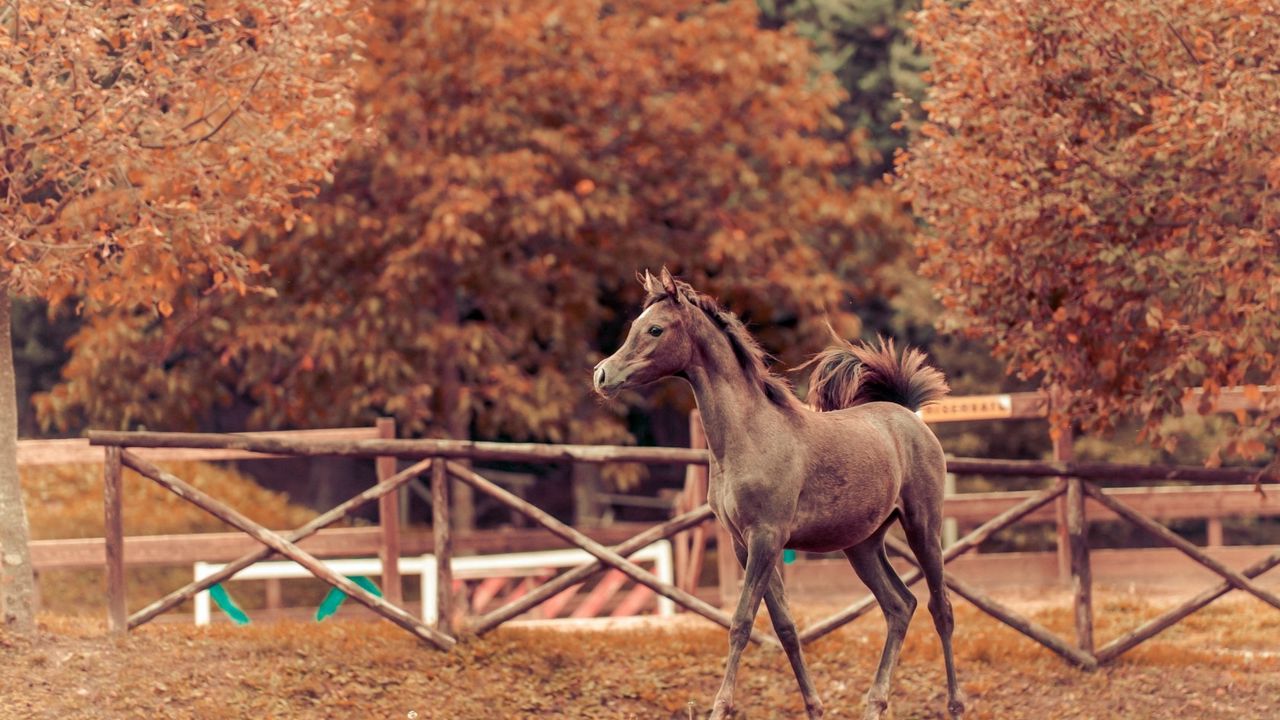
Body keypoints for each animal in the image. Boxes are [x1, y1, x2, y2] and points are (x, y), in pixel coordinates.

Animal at [588, 267, 962, 717]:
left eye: (655, 329)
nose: (602, 376)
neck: (749, 436)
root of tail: (907, 415)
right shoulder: (743, 544)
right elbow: (785, 626)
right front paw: (815, 707)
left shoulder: (766, 538)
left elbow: (741, 622)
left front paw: (720, 707)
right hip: (863, 545)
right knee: (899, 605)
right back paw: (874, 703)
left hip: (923, 526)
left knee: (940, 609)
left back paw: (954, 704)